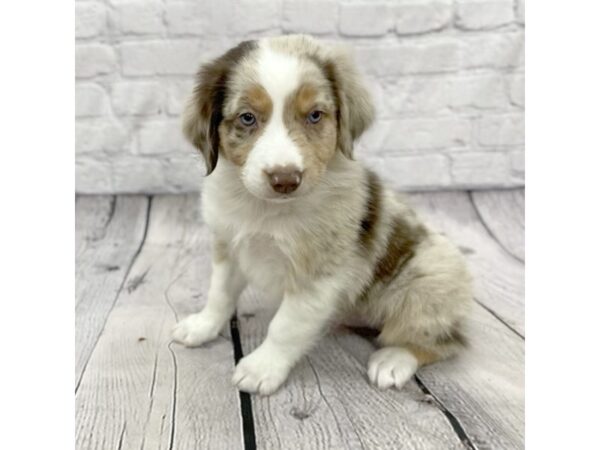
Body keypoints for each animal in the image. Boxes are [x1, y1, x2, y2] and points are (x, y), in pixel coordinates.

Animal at [172, 34, 474, 394]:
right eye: (247, 118)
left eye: (315, 115)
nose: (285, 180)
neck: (265, 210)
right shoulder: (228, 246)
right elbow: (219, 293)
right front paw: (202, 325)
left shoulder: (317, 275)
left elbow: (285, 326)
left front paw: (262, 367)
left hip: (429, 283)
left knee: (446, 341)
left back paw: (393, 360)